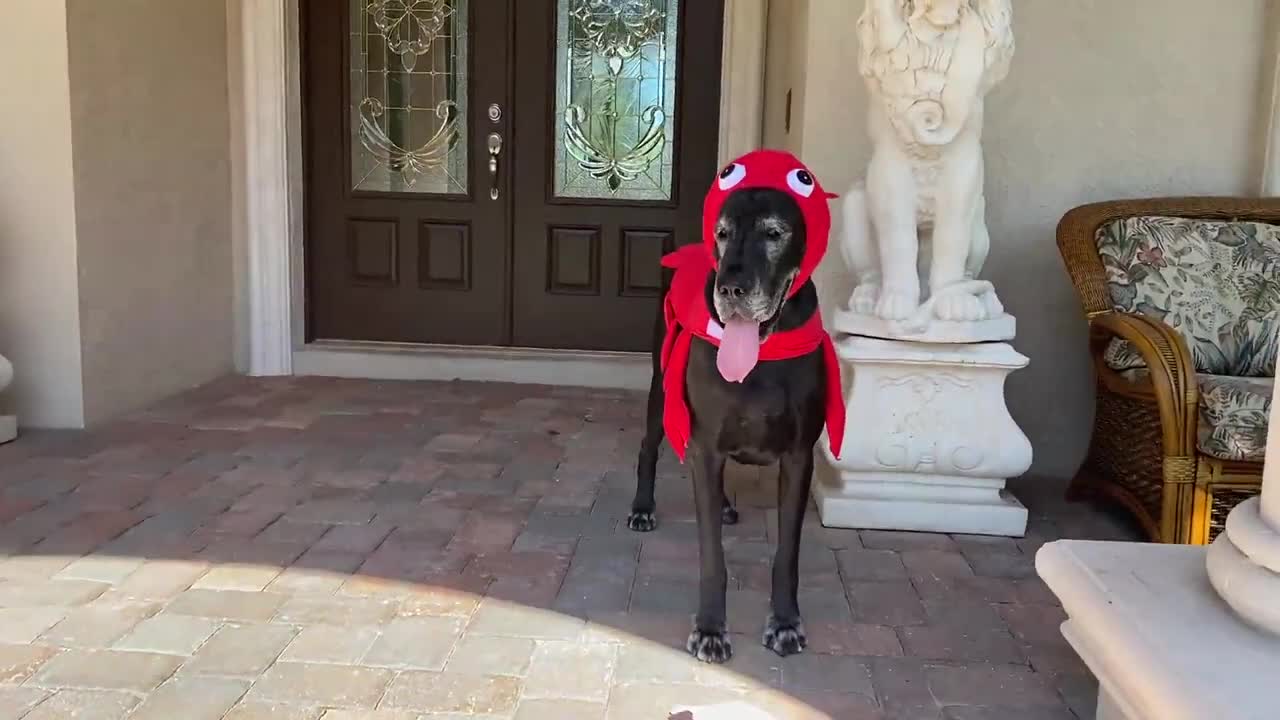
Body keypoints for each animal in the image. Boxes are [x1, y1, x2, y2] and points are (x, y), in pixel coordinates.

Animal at [622, 149, 839, 661]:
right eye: (721, 232)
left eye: (774, 233)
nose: (730, 290)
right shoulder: (705, 446)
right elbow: (712, 557)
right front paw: (710, 628)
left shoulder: (798, 456)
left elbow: (786, 555)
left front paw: (785, 622)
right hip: (662, 389)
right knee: (647, 448)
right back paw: (643, 507)